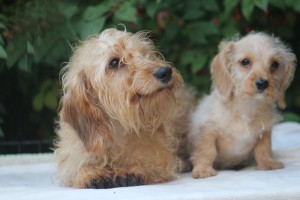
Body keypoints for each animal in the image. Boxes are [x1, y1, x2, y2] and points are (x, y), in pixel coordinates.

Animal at [54, 28, 195, 189]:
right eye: (114, 62)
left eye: (144, 53)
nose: (165, 72)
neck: (119, 129)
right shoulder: (73, 158)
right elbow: (79, 167)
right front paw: (92, 174)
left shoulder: (158, 155)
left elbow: (149, 162)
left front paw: (134, 170)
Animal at [189, 32, 296, 178]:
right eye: (245, 61)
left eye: (274, 64)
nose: (262, 83)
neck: (247, 107)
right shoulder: (208, 130)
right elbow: (206, 151)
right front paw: (203, 169)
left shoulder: (264, 131)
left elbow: (264, 149)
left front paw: (267, 163)